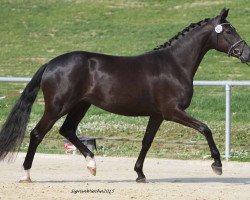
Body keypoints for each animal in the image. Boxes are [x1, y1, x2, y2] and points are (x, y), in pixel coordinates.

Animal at [0, 8, 249, 183]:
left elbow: (146, 142)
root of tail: (50, 64)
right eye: (228, 31)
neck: (174, 65)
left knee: (67, 130)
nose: (246, 54)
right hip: (57, 107)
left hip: (81, 105)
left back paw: (92, 165)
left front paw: (140, 174)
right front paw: (217, 165)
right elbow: (205, 128)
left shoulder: (157, 115)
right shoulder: (172, 111)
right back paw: (26, 175)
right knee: (37, 133)